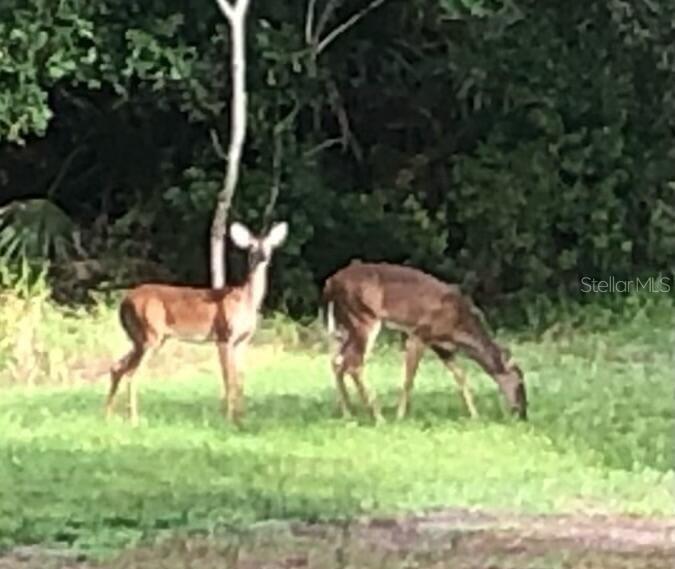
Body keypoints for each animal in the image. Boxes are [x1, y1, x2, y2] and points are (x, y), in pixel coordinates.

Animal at [106, 221, 288, 426]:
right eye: (252, 247)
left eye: (270, 246)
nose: (264, 257)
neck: (245, 300)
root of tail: (124, 303)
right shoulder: (224, 336)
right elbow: (229, 378)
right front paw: (228, 419)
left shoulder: (243, 340)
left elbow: (241, 378)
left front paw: (242, 418)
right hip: (150, 333)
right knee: (132, 373)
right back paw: (134, 420)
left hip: (142, 338)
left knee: (117, 367)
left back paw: (107, 415)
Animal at [322, 260, 527, 423]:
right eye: (519, 381)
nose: (523, 413)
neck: (458, 326)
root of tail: (330, 283)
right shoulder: (419, 334)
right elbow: (409, 378)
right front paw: (400, 416)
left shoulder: (441, 346)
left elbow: (460, 376)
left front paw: (475, 415)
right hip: (364, 317)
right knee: (353, 364)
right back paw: (378, 418)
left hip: (344, 324)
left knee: (337, 361)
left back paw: (348, 413)